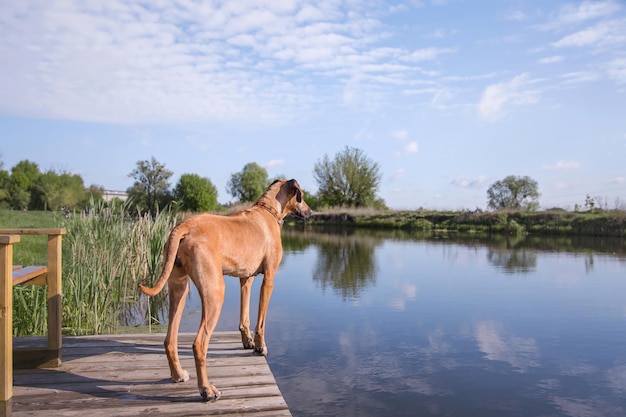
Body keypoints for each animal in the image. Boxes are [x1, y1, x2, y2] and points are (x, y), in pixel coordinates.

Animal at [139, 178, 310, 400]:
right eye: (302, 196)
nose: (310, 212)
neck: (268, 211)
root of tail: (184, 225)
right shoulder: (269, 279)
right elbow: (261, 321)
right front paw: (260, 347)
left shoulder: (246, 279)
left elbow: (245, 317)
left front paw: (248, 341)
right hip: (215, 292)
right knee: (199, 344)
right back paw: (207, 389)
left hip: (179, 289)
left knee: (170, 339)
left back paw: (178, 375)